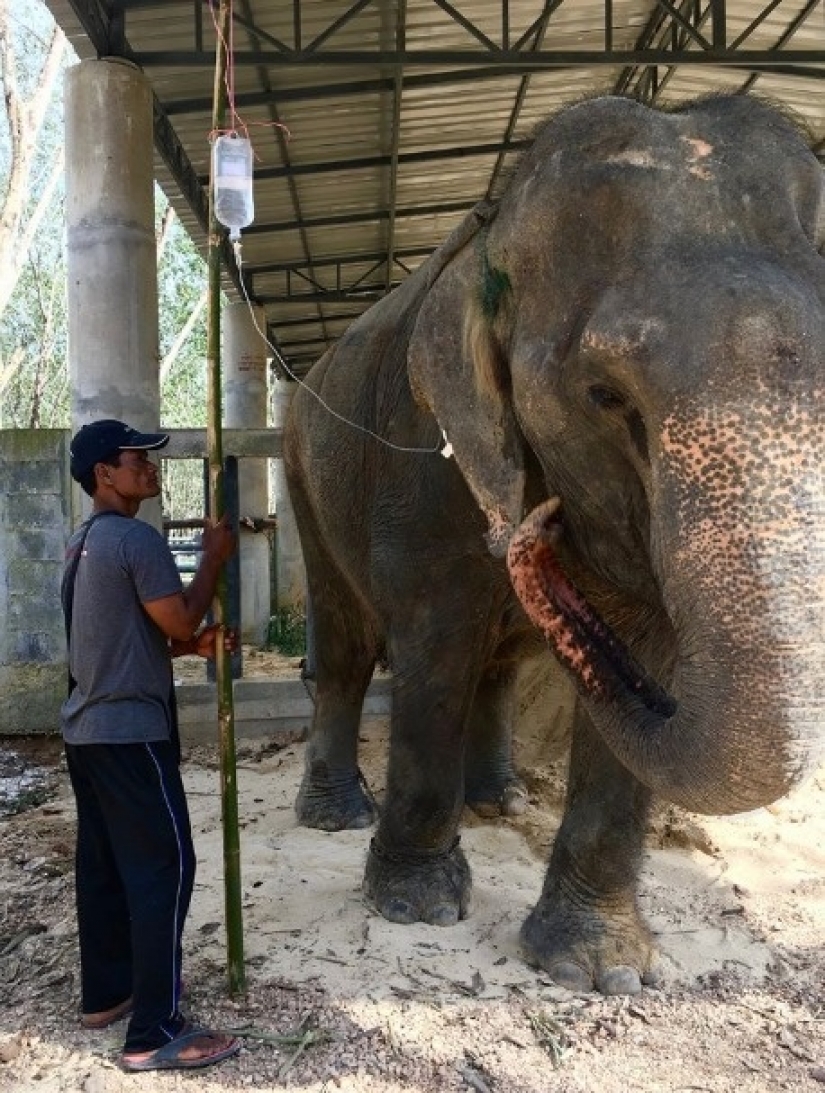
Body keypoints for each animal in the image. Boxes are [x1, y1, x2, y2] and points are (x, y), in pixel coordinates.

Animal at [283, 93, 825, 996]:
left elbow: (645, 652)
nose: (535, 529)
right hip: (301, 474)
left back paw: (499, 802)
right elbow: (433, 645)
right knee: (348, 647)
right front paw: (415, 907)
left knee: (494, 667)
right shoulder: (418, 465)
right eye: (605, 396)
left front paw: (598, 969)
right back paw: (335, 814)